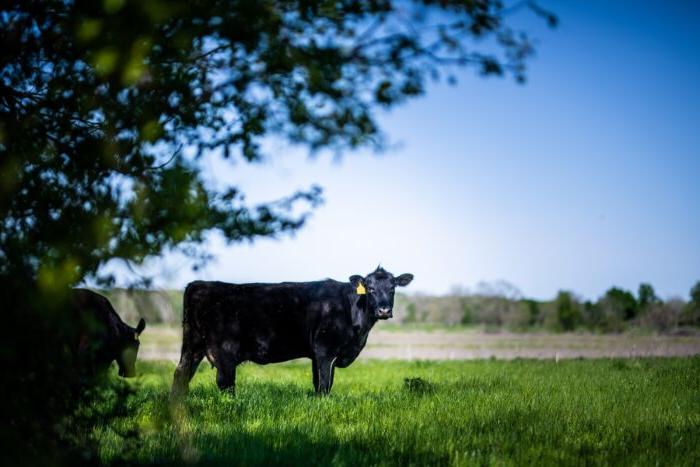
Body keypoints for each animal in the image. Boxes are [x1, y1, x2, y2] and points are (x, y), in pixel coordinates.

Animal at [172, 266, 412, 394]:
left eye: (392, 288)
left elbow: (320, 382)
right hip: (224, 352)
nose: (384, 310)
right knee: (225, 383)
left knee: (181, 374)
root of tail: (200, 284)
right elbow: (324, 384)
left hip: (192, 346)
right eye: (370, 289)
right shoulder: (325, 350)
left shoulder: (319, 354)